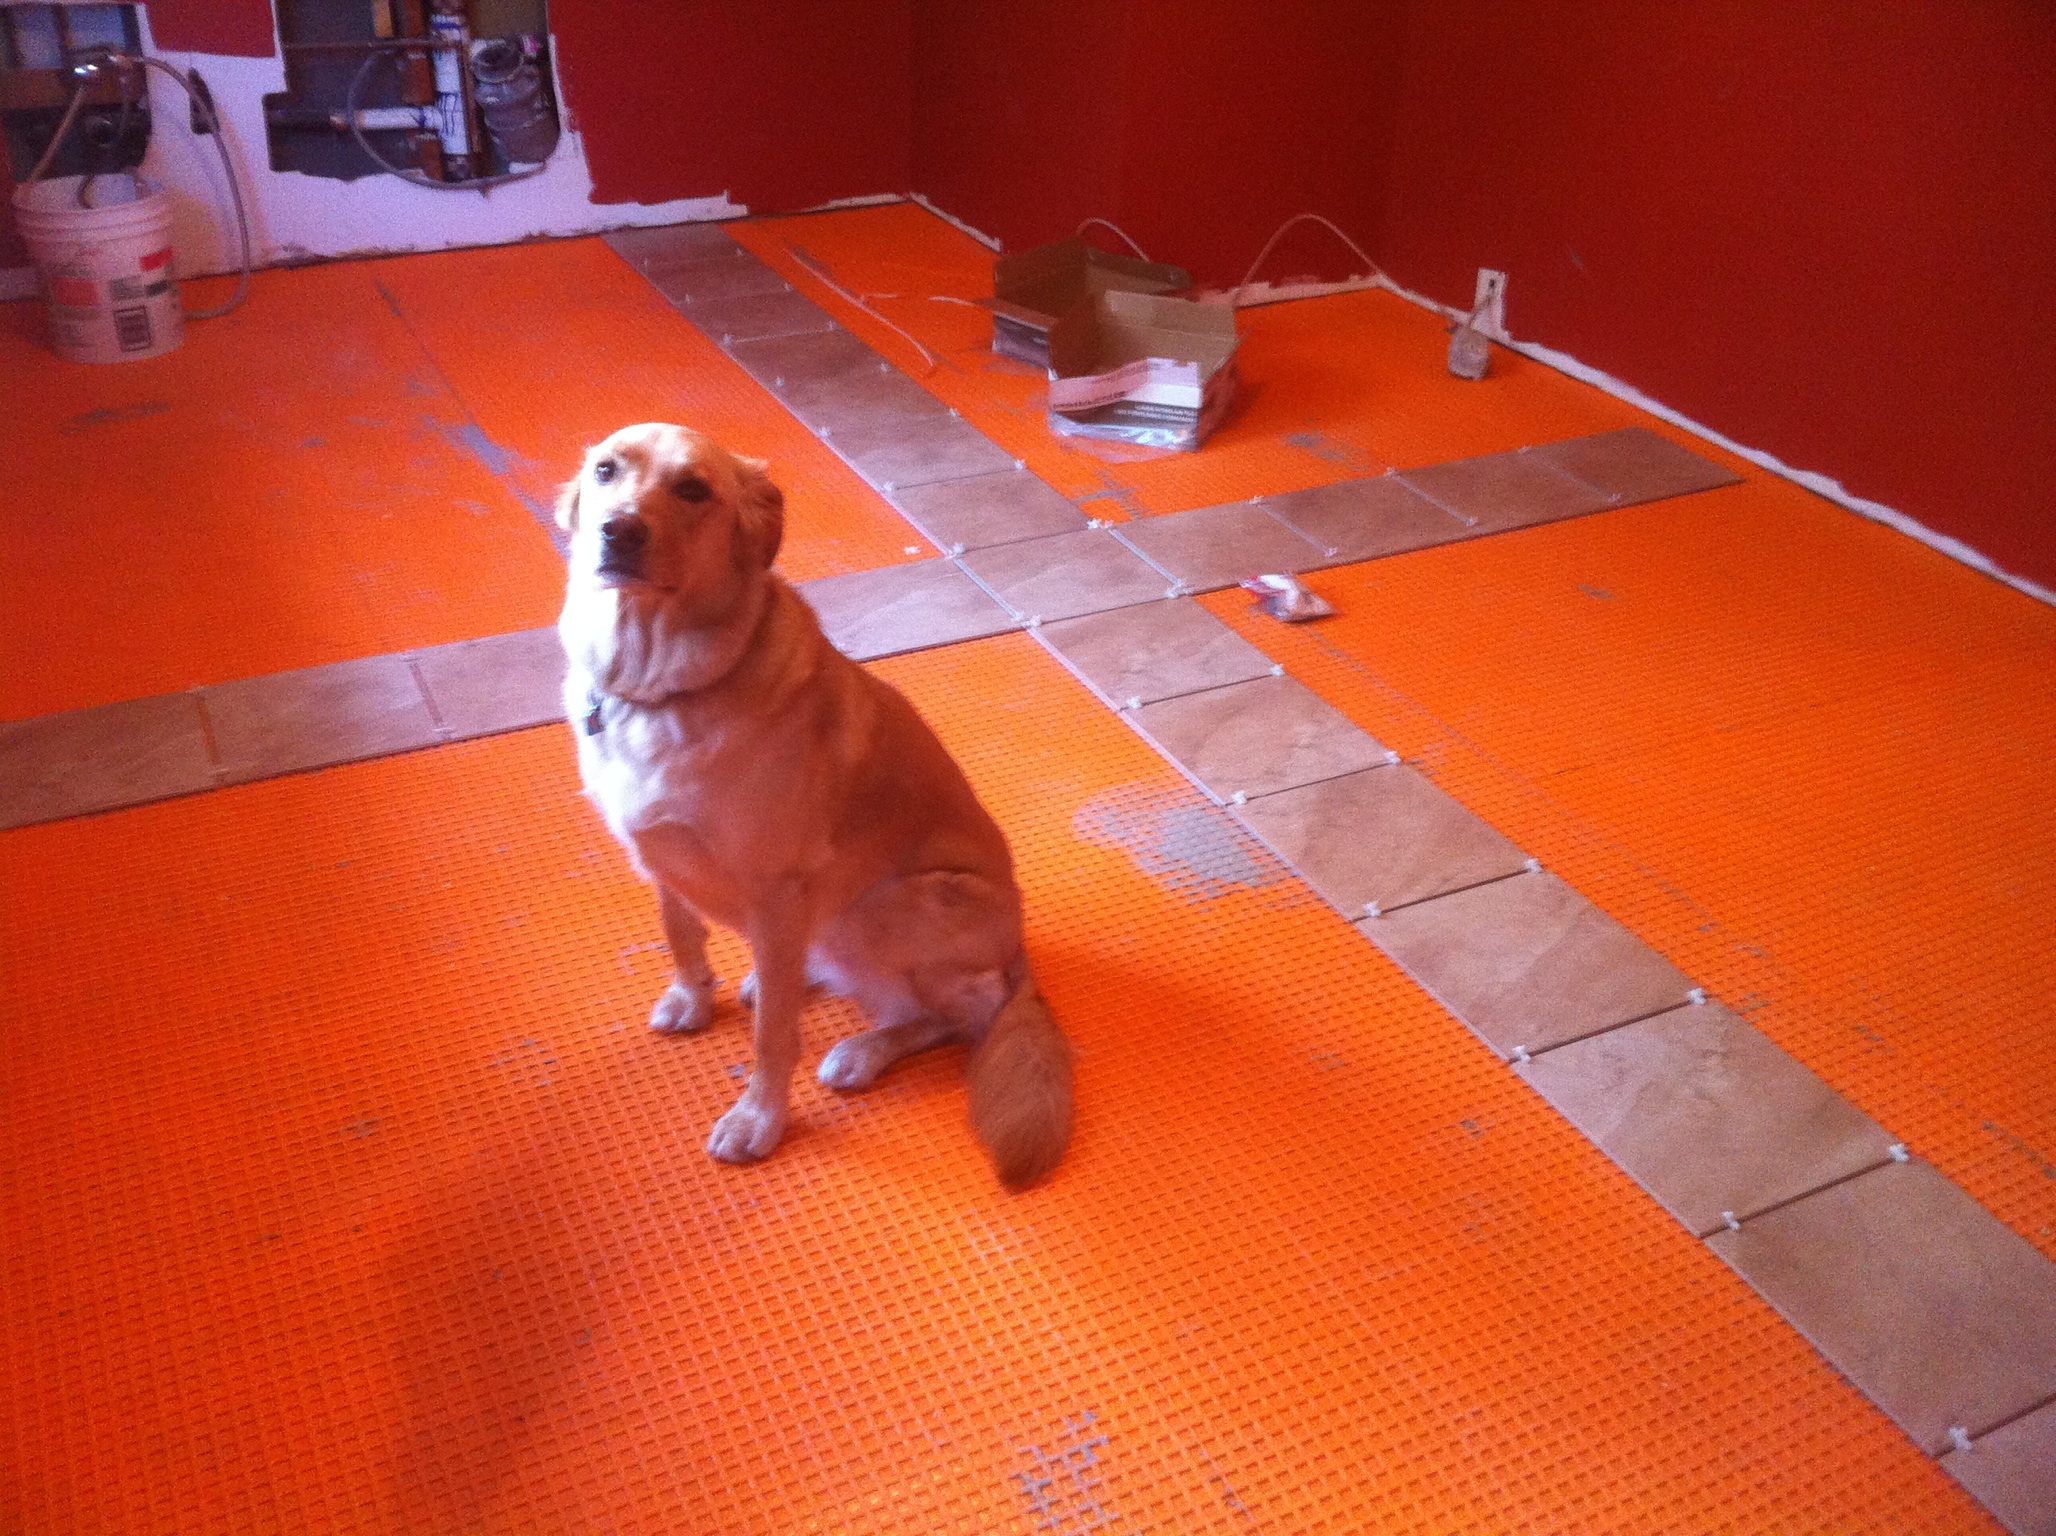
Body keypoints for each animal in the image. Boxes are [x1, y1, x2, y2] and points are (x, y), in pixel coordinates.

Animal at [563, 425, 1077, 1192]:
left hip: (886, 903)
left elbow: (773, 1039)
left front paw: (760, 1120)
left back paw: (865, 1049)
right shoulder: (661, 855)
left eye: (693, 490)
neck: (657, 684)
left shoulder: (777, 886)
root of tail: (1019, 955)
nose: (617, 530)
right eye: (606, 471)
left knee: (962, 1013)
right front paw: (693, 997)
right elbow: (681, 931)